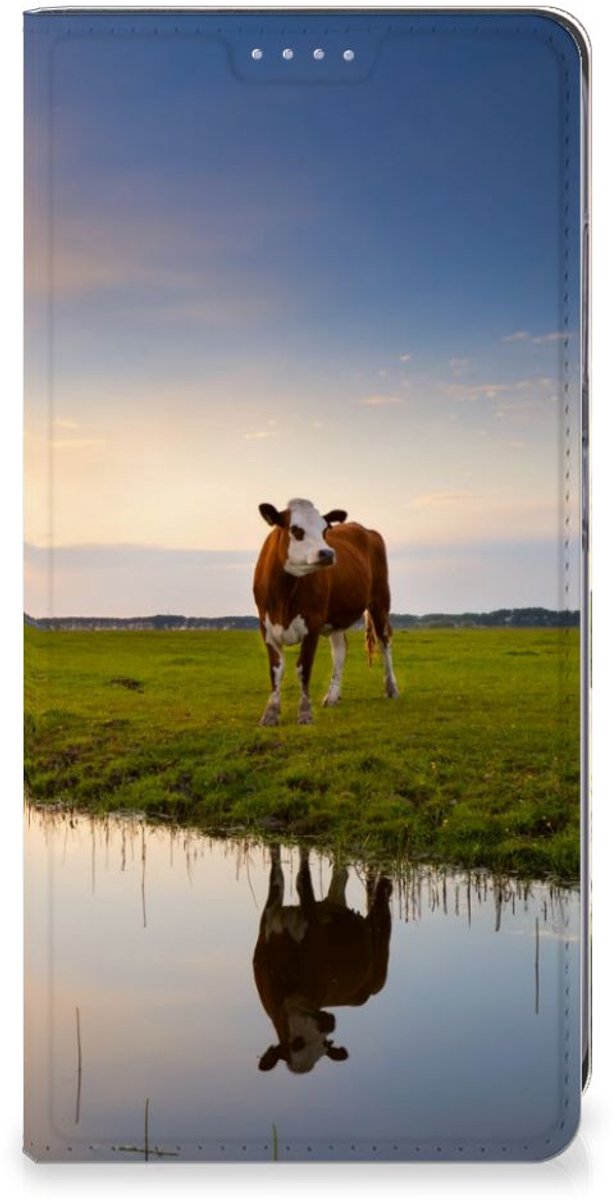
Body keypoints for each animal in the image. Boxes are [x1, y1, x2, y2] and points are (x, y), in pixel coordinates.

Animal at [253, 498, 399, 726]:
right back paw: (332, 696)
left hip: (380, 602)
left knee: (385, 642)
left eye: (324, 530)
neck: (283, 594)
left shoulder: (312, 624)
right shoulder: (266, 627)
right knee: (340, 650)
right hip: (337, 617)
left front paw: (305, 712)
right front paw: (271, 713)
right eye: (296, 529)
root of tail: (366, 530)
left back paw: (391, 688)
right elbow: (276, 670)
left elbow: (303, 668)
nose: (328, 553)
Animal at [253, 846, 392, 1074]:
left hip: (380, 950)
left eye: (324, 1044)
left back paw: (385, 886)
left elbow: (302, 879)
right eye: (296, 1043)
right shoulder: (269, 917)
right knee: (341, 875)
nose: (329, 1023)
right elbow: (277, 874)